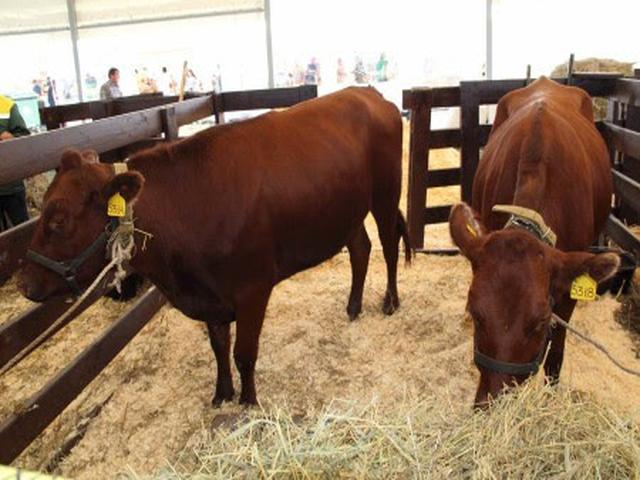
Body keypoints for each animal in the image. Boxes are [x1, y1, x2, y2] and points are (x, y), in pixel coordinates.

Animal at [17, 87, 409, 406]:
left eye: (58, 221)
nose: (23, 283)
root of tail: (369, 93)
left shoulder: (253, 288)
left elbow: (244, 353)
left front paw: (249, 403)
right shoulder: (210, 295)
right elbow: (219, 347)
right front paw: (222, 394)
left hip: (386, 193)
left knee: (389, 245)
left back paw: (390, 301)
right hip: (347, 210)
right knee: (360, 249)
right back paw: (353, 306)